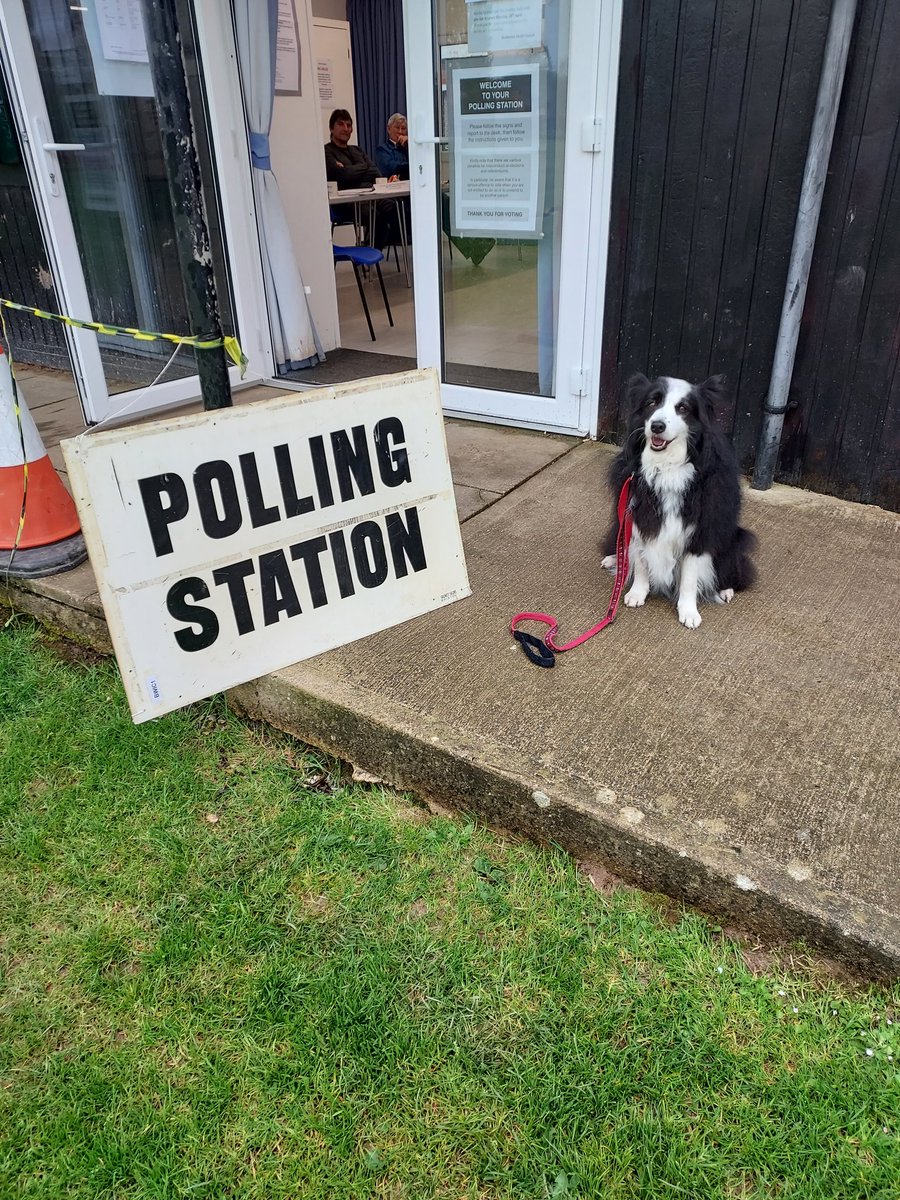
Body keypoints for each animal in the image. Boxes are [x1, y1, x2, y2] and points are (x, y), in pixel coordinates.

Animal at [602, 376, 758, 628]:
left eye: (683, 408)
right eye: (652, 402)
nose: (657, 426)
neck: (665, 468)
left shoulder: (698, 531)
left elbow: (689, 577)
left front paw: (688, 612)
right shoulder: (637, 517)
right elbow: (641, 560)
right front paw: (637, 593)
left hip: (730, 536)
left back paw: (725, 589)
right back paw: (614, 558)